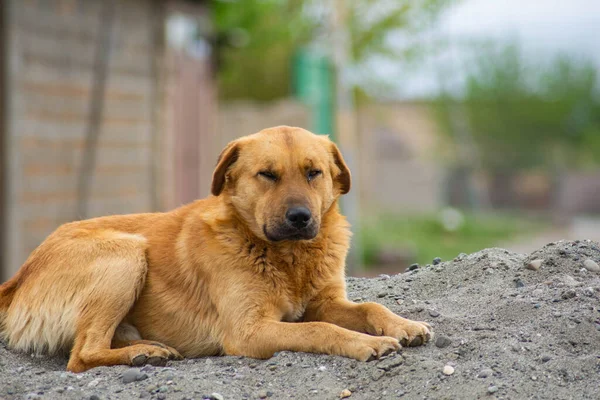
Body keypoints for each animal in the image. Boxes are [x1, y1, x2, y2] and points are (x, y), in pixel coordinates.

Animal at [0, 126, 432, 372]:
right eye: (267, 175)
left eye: (314, 173)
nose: (300, 217)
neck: (287, 257)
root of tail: (17, 278)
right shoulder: (249, 331)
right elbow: (319, 328)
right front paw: (367, 343)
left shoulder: (326, 301)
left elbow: (369, 307)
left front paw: (404, 325)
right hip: (126, 254)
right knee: (82, 356)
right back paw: (142, 355)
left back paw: (146, 346)